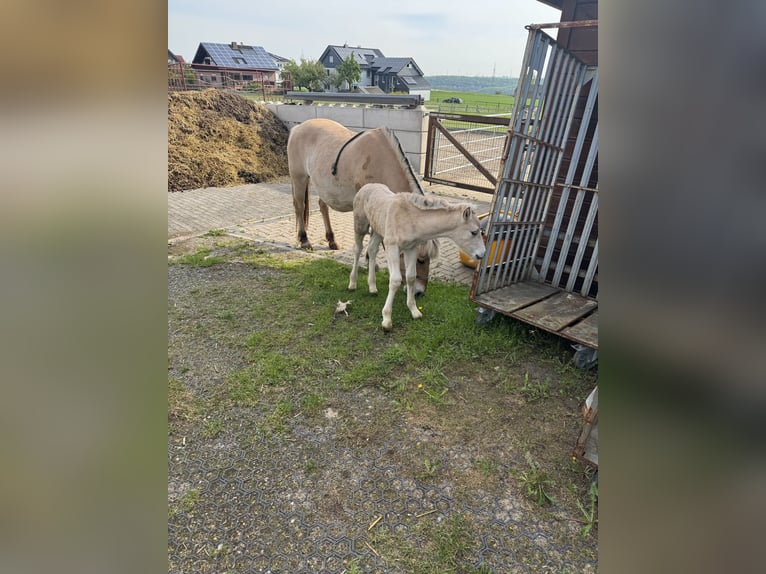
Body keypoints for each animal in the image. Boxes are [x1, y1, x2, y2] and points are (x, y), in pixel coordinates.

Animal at [286, 117, 438, 296]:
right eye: (420, 260)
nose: (419, 292)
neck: (381, 163)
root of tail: (297, 128)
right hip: (299, 176)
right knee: (299, 205)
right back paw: (304, 240)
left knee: (322, 206)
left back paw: (331, 240)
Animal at [348, 183, 486, 331]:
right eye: (474, 232)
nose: (482, 254)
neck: (411, 219)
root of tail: (367, 186)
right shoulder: (392, 246)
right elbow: (395, 280)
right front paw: (387, 319)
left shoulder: (412, 248)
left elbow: (410, 277)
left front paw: (414, 311)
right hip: (360, 226)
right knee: (358, 250)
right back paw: (352, 284)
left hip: (378, 231)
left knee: (372, 249)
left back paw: (372, 288)